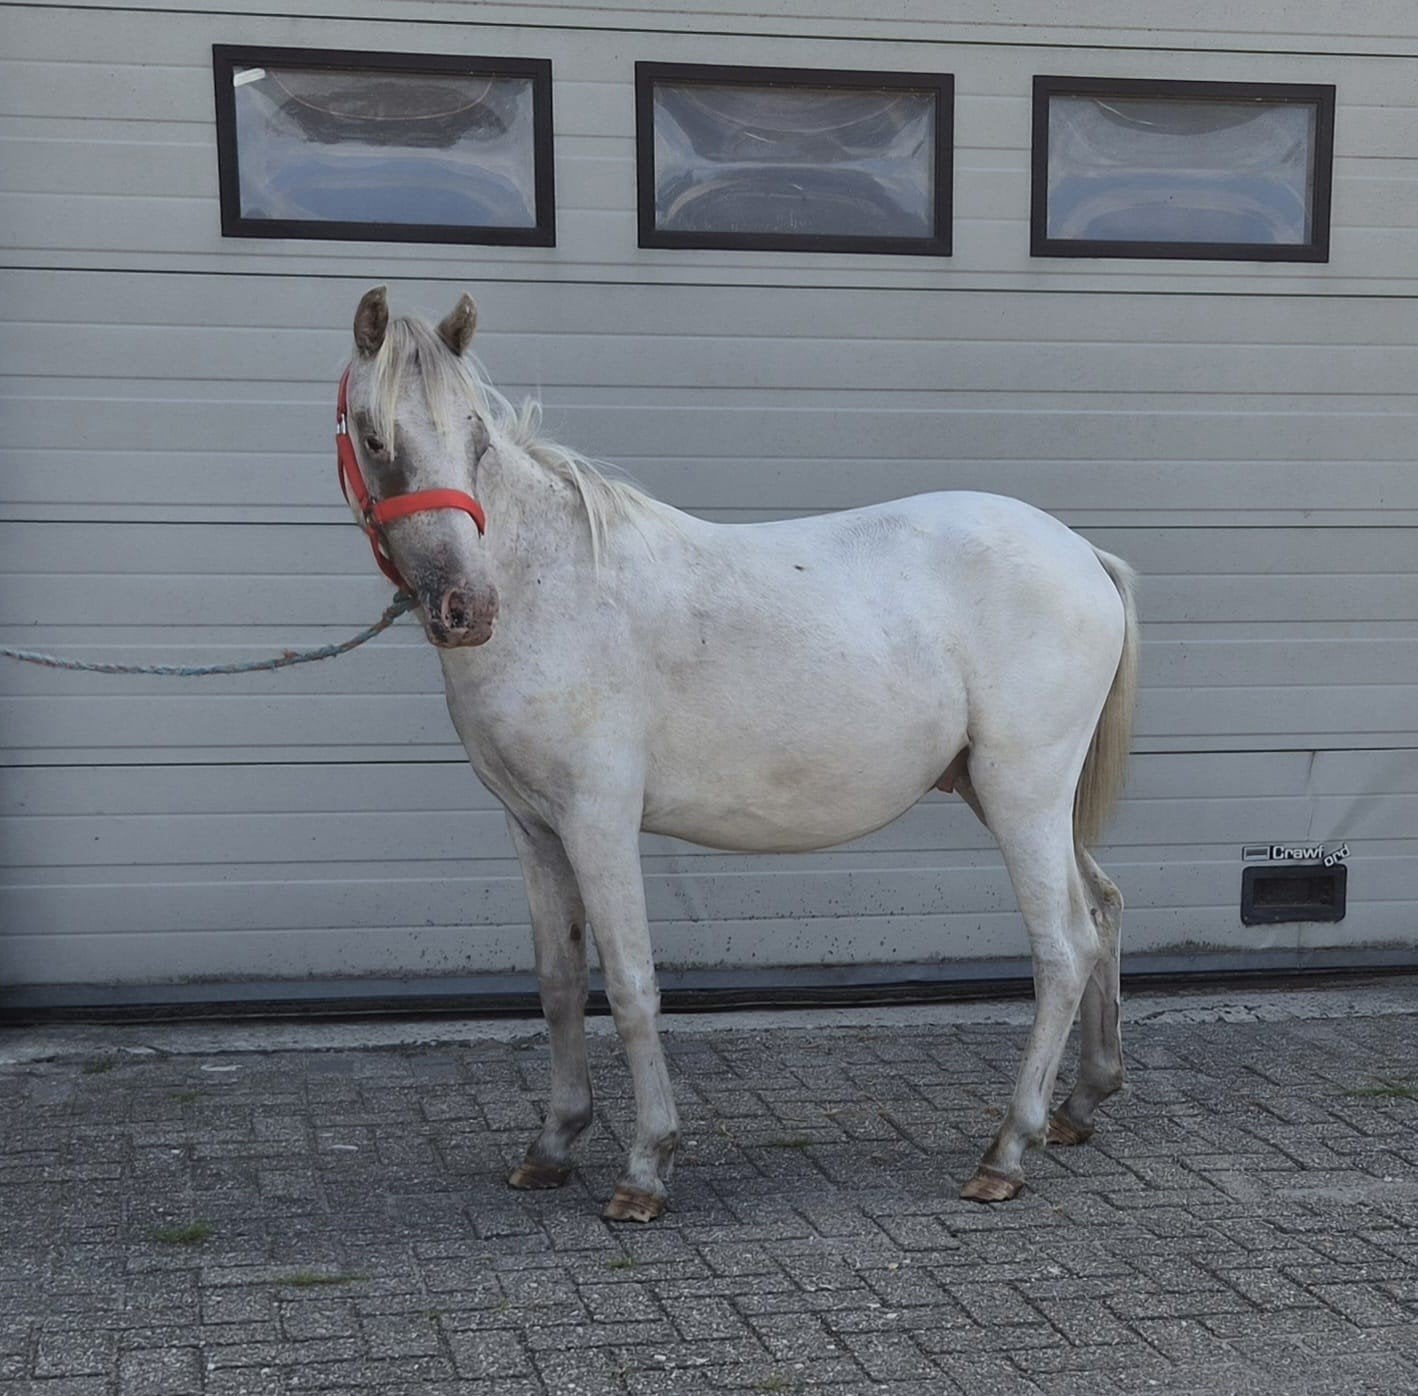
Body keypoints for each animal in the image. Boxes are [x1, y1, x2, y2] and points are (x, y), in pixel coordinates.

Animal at [337, 285, 1139, 1222]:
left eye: (475, 437)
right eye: (374, 435)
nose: (467, 608)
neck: (551, 587)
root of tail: (1082, 553)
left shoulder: (599, 822)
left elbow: (631, 986)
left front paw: (645, 1167)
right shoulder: (533, 829)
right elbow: (559, 984)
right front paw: (552, 1145)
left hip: (1023, 793)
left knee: (1064, 949)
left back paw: (1008, 1149)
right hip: (1012, 794)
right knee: (1104, 912)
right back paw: (1078, 1107)